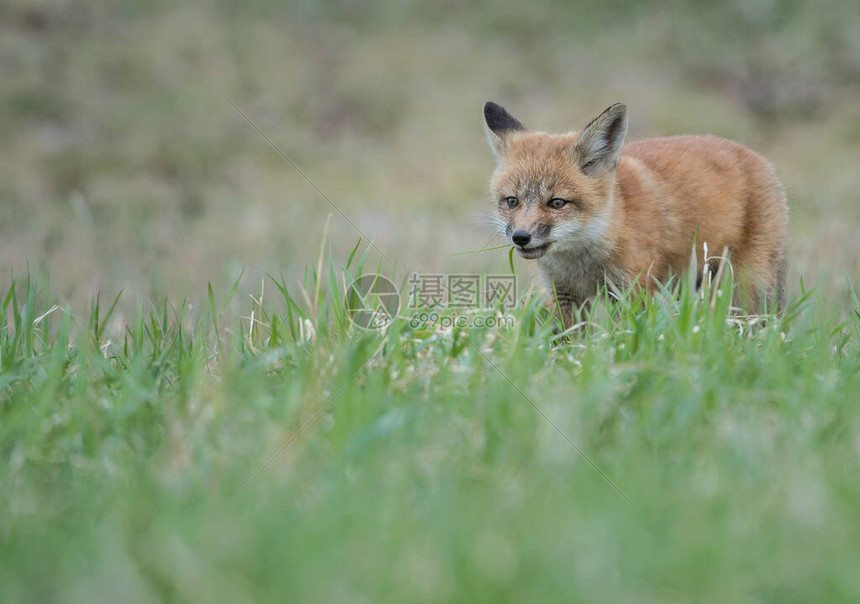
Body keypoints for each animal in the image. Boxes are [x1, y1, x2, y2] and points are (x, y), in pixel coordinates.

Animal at [484, 100, 788, 326]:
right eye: (512, 201)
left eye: (557, 203)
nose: (521, 237)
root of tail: (759, 157)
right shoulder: (564, 295)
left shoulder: (633, 291)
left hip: (748, 285)